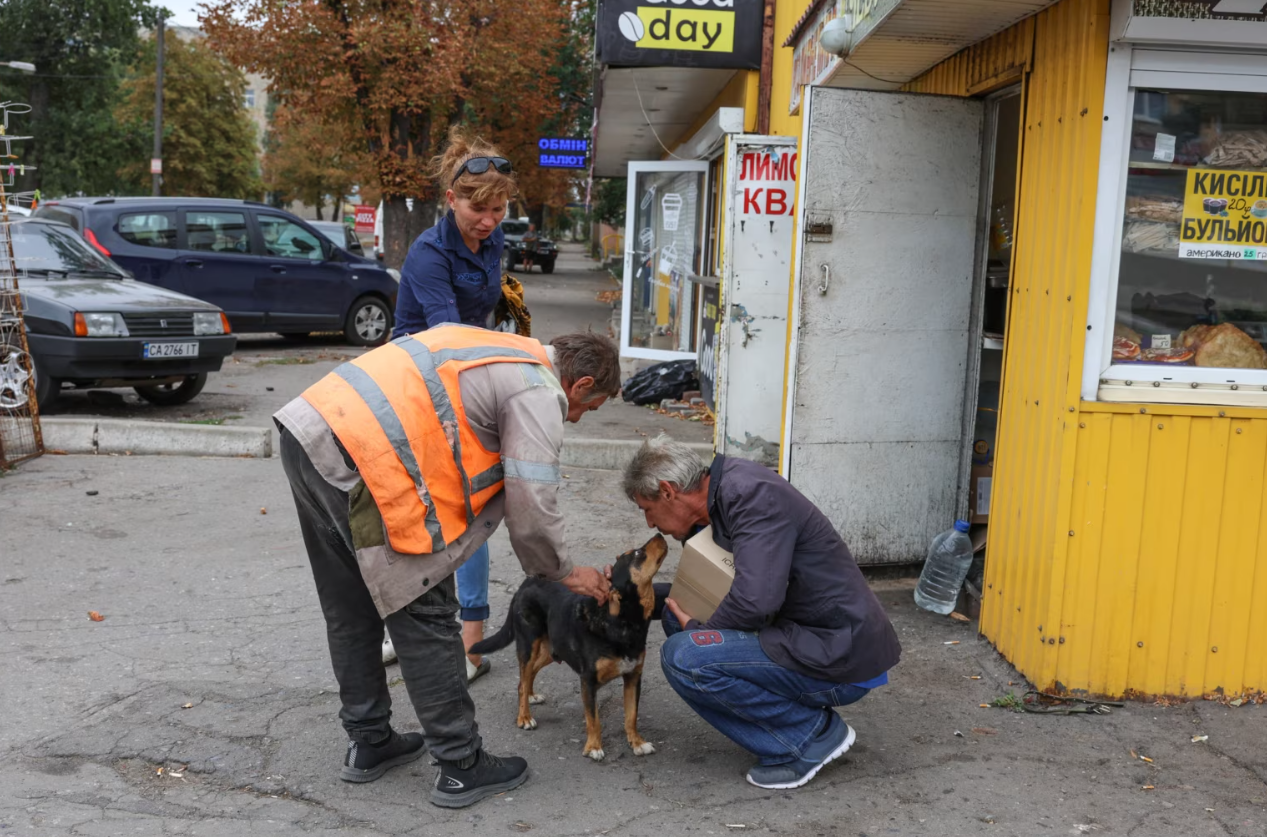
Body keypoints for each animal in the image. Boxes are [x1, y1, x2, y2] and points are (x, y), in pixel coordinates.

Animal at [473, 534, 674, 759]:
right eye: (638, 554)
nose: (659, 535)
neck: (624, 622)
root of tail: (525, 584)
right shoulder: (588, 681)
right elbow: (594, 720)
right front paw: (594, 747)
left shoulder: (633, 677)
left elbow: (631, 716)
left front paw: (637, 743)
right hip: (529, 645)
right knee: (523, 681)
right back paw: (524, 717)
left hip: (551, 650)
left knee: (526, 678)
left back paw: (531, 696)